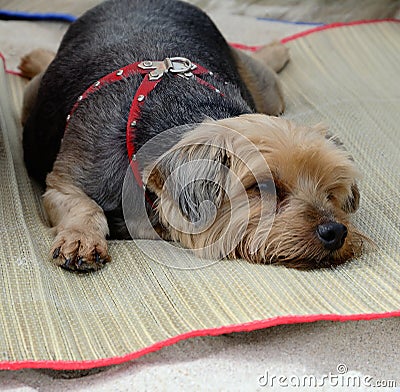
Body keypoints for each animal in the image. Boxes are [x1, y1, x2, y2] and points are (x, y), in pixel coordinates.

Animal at [21, 0, 366, 272]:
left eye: (331, 191)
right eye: (264, 187)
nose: (335, 231)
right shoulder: (64, 183)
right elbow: (84, 206)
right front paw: (81, 240)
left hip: (266, 94)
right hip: (33, 98)